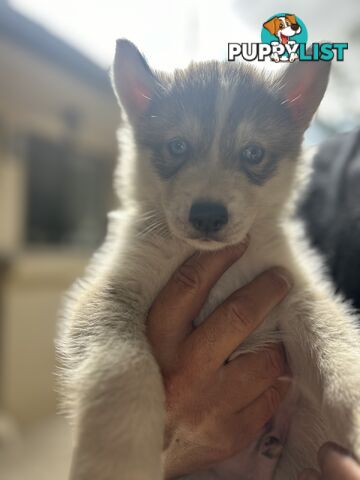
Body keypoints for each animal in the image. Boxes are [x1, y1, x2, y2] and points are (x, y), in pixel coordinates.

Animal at [58, 39, 360, 478]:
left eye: (253, 153)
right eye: (177, 146)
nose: (208, 216)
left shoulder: (295, 291)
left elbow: (336, 343)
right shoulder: (112, 292)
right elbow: (121, 368)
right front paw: (117, 461)